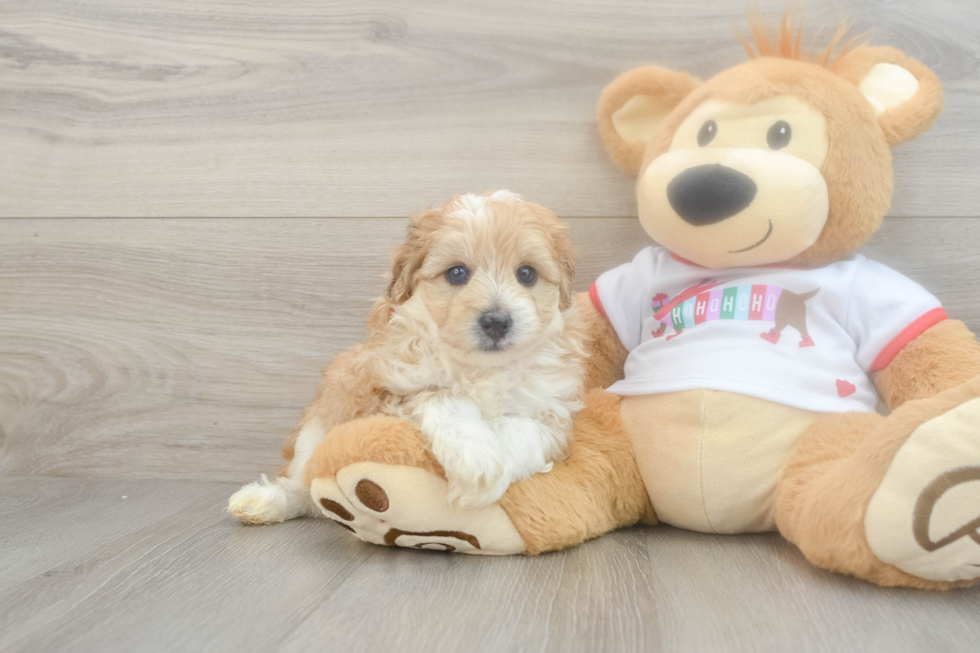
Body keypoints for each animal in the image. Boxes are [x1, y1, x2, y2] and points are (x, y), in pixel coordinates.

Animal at [230, 191, 584, 524]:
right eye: (457, 273)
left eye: (527, 273)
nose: (496, 321)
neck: (478, 368)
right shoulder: (381, 389)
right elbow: (443, 397)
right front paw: (475, 458)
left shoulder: (550, 413)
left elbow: (524, 431)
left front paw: (488, 471)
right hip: (316, 425)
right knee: (306, 483)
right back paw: (264, 501)